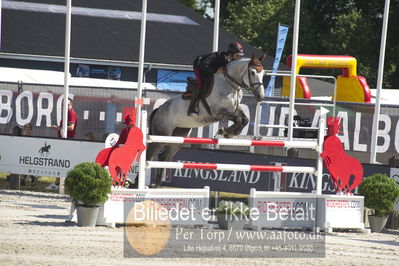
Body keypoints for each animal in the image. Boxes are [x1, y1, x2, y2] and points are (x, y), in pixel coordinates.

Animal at [146, 53, 266, 187]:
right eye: (252, 72)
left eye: (263, 73)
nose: (260, 96)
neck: (229, 84)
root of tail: (159, 109)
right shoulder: (217, 113)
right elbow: (238, 119)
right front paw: (225, 131)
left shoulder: (234, 109)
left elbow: (244, 119)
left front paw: (229, 133)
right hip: (161, 135)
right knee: (149, 155)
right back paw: (138, 184)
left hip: (178, 137)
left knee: (163, 156)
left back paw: (156, 184)